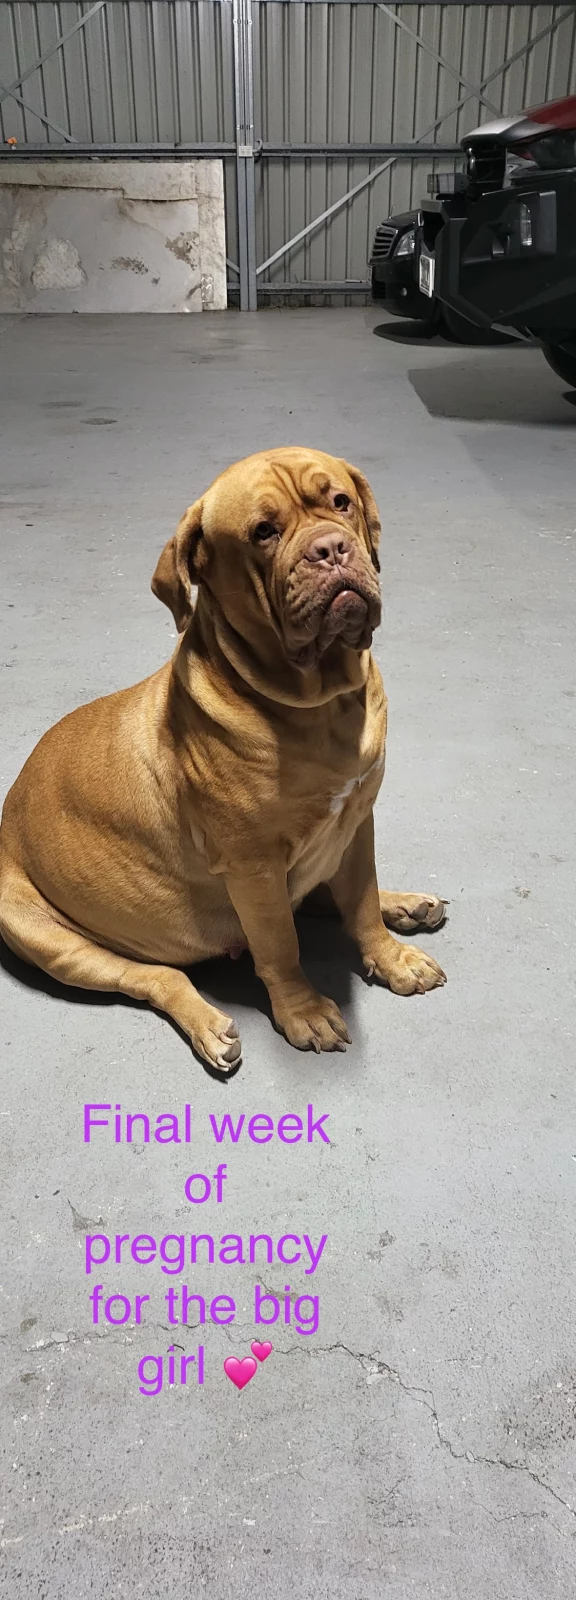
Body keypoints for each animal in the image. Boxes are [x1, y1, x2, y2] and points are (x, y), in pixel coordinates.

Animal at [0, 447, 446, 1071]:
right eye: (263, 532)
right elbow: (280, 944)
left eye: (340, 502)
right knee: (158, 978)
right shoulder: (252, 866)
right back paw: (208, 1025)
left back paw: (407, 905)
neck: (320, 705)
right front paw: (303, 1012)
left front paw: (390, 954)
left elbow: (359, 901)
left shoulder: (357, 823)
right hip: (50, 939)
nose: (331, 548)